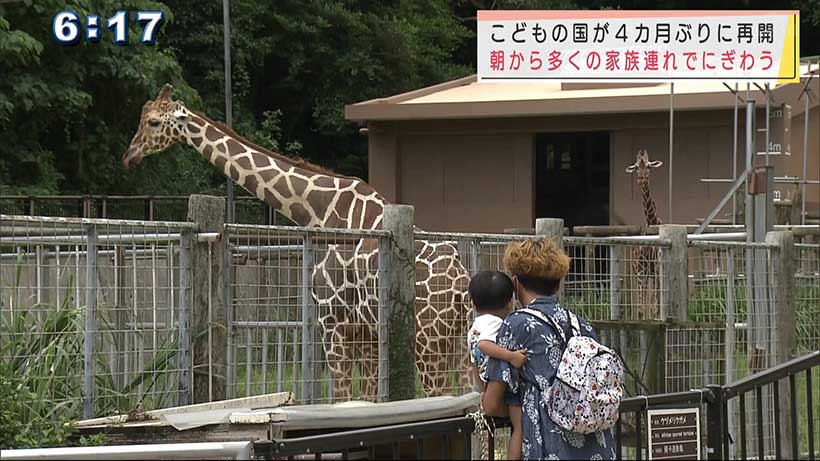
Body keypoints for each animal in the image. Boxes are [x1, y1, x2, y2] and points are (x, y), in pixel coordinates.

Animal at [118, 83, 470, 398]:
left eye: (153, 122)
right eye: (141, 117)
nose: (129, 156)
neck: (319, 210)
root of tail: (460, 287)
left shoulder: (332, 321)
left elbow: (344, 398)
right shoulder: (365, 332)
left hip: (428, 342)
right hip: (460, 343)